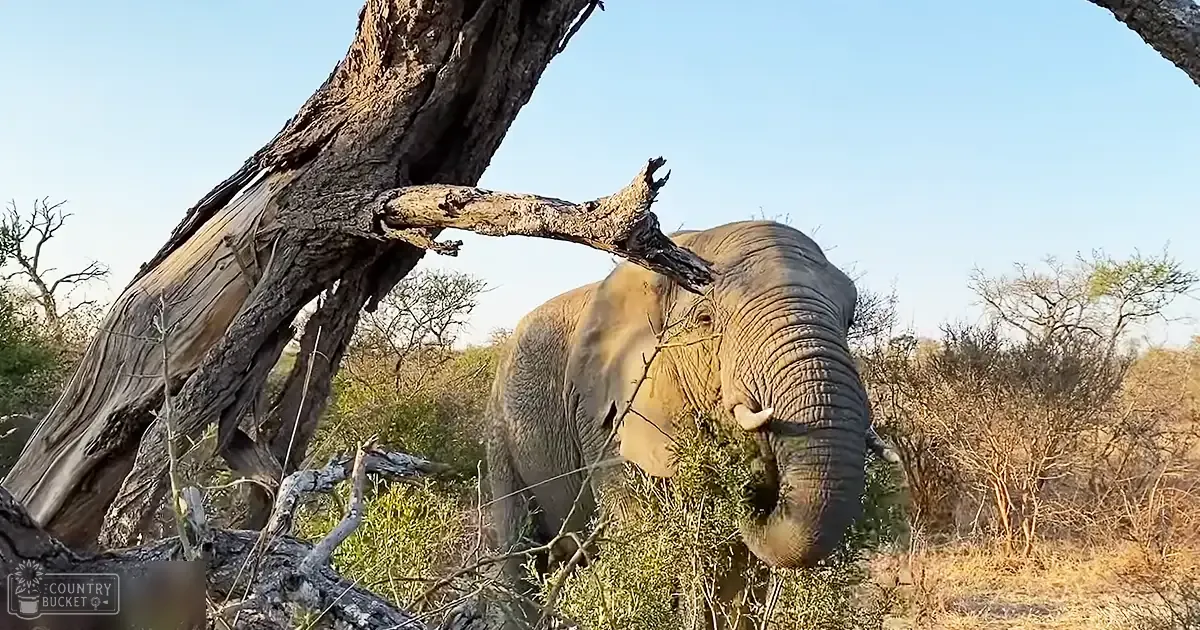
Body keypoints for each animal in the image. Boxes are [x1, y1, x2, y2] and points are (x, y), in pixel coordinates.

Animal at [484, 220, 898, 628]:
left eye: (849, 320)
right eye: (705, 319)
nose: (756, 488)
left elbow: (736, 568)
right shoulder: (603, 417)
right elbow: (647, 537)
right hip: (501, 433)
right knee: (520, 552)